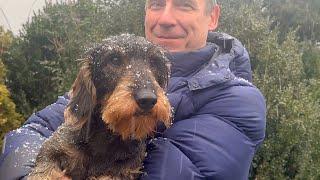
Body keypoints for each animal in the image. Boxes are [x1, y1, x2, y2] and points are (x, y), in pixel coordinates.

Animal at [27, 34, 172, 180]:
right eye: (114, 59)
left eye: (155, 62)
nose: (147, 99)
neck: (105, 137)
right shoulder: (52, 148)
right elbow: (45, 171)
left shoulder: (126, 169)